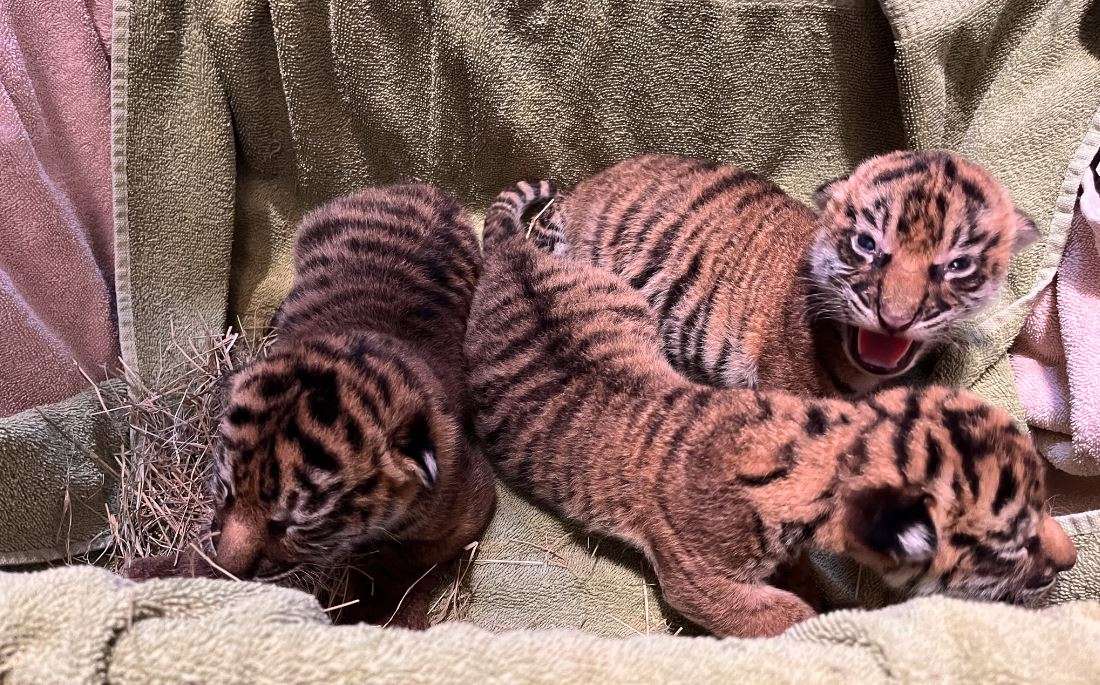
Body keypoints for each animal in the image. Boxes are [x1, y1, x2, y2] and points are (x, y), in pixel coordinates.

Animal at [129, 183, 498, 629]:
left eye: (290, 524)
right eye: (227, 492)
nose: (232, 570)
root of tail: (421, 188)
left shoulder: (467, 507)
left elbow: (408, 563)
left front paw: (384, 612)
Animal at [465, 234, 1076, 638]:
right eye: (1012, 546)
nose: (1071, 561)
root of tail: (508, 253)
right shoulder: (700, 581)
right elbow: (776, 615)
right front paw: (823, 619)